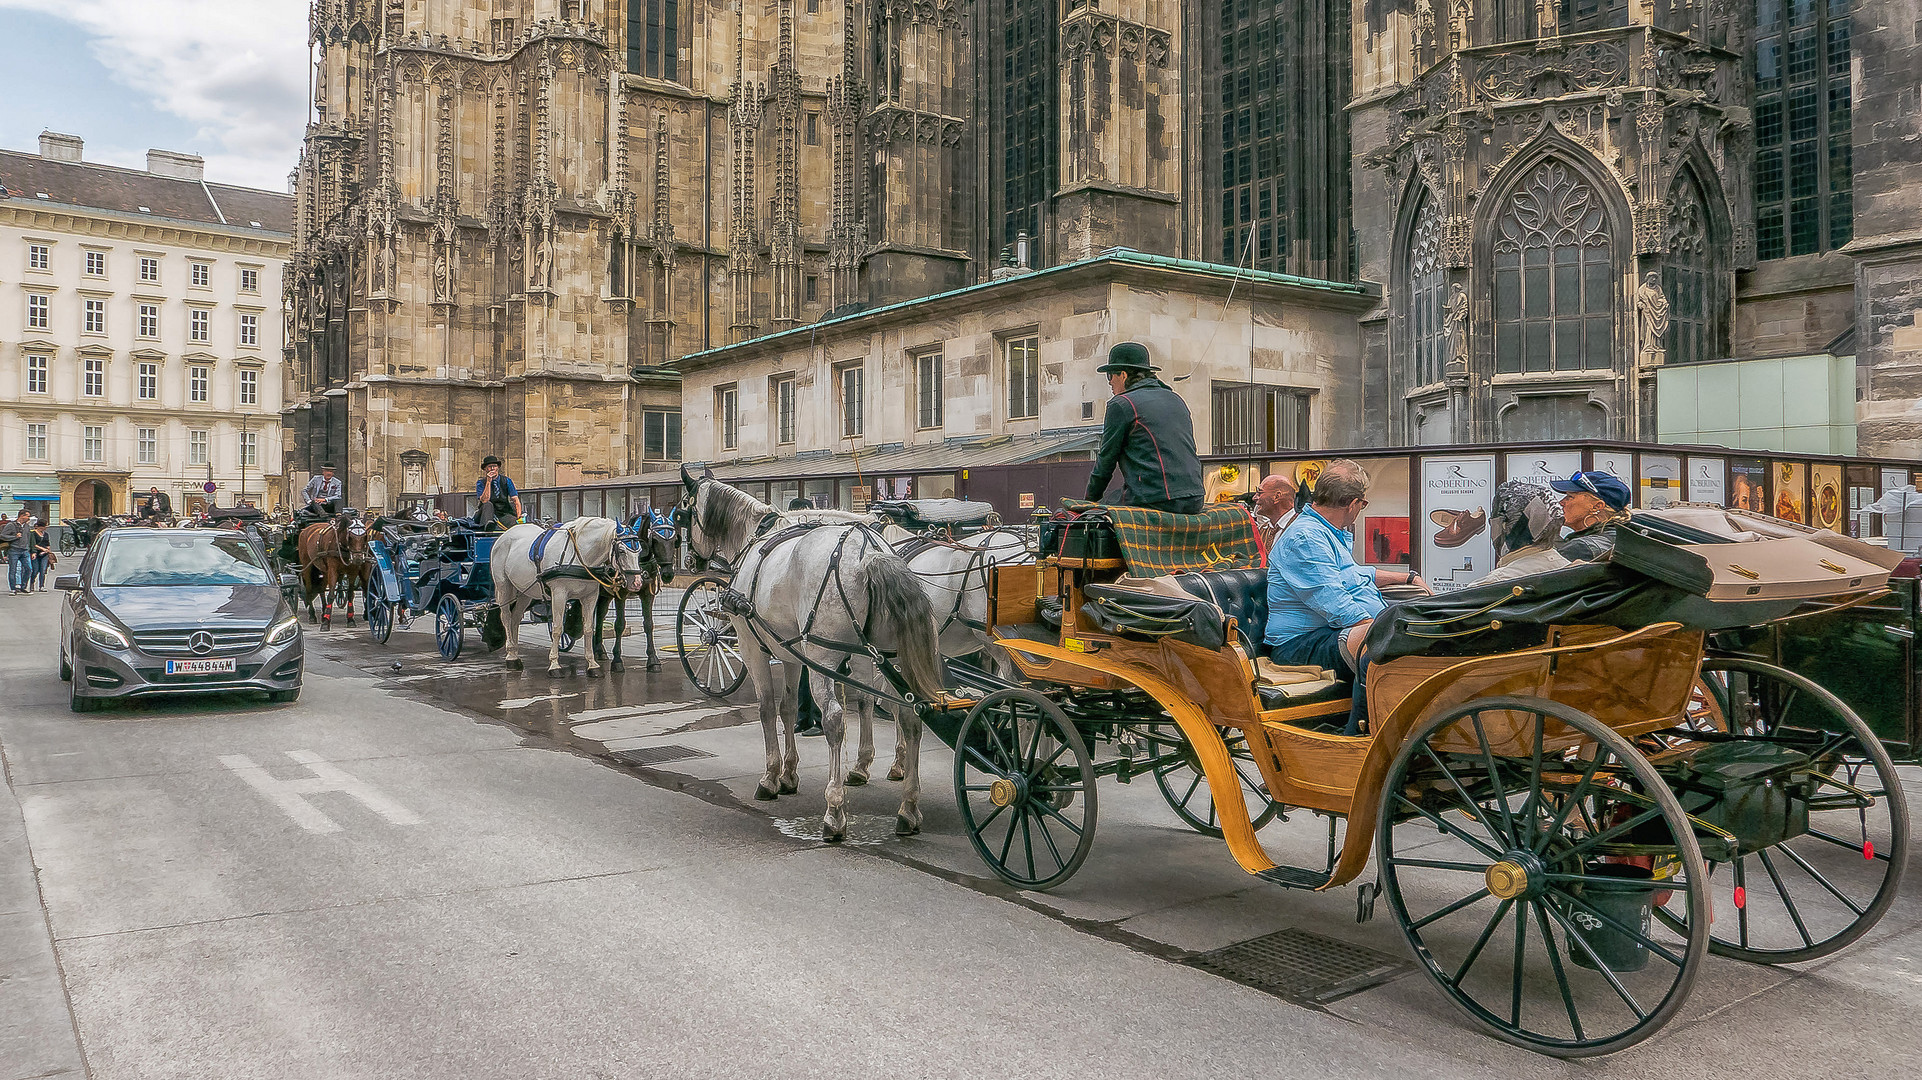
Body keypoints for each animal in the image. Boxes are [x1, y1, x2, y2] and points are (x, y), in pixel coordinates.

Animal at [488, 518, 645, 676]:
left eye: (639, 551)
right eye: (621, 551)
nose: (637, 583)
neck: (579, 555)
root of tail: (506, 534)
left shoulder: (590, 596)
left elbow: (588, 629)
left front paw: (592, 665)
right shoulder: (559, 594)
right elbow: (557, 628)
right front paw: (554, 665)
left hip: (525, 592)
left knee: (515, 618)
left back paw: (514, 653)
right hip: (504, 587)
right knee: (506, 618)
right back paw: (511, 657)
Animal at [676, 470, 945, 841]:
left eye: (682, 513)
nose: (690, 561)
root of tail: (869, 553)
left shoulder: (752, 647)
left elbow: (766, 709)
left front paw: (771, 777)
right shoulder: (789, 654)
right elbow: (788, 708)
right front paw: (789, 774)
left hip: (826, 658)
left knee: (834, 718)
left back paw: (834, 811)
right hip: (891, 659)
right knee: (909, 717)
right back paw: (908, 807)